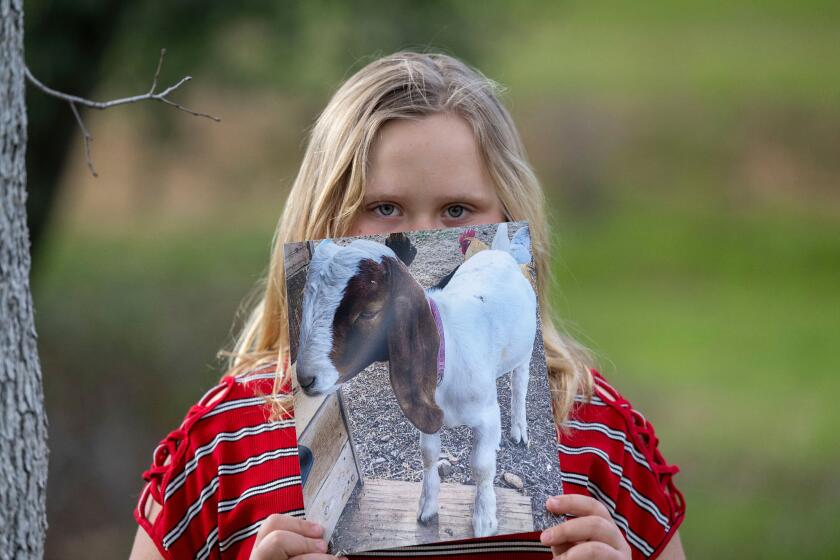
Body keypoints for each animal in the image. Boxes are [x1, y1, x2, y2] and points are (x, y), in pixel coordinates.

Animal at [296, 223, 540, 540]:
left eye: (368, 312)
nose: (306, 378)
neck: (448, 349)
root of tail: (501, 253)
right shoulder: (424, 408)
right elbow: (428, 454)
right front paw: (427, 506)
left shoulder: (486, 416)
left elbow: (482, 466)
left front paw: (485, 519)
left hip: (525, 349)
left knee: (519, 384)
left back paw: (518, 429)